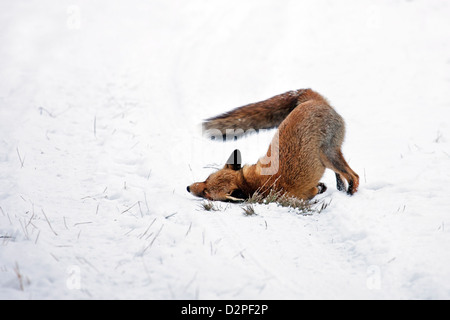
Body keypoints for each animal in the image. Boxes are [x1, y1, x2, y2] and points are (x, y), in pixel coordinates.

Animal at [186, 87, 358, 202]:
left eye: (206, 193)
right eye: (206, 179)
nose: (188, 188)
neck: (251, 183)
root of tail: (312, 100)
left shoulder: (301, 194)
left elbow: (314, 191)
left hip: (328, 155)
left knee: (354, 176)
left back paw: (350, 193)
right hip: (328, 158)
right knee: (341, 174)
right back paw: (341, 188)